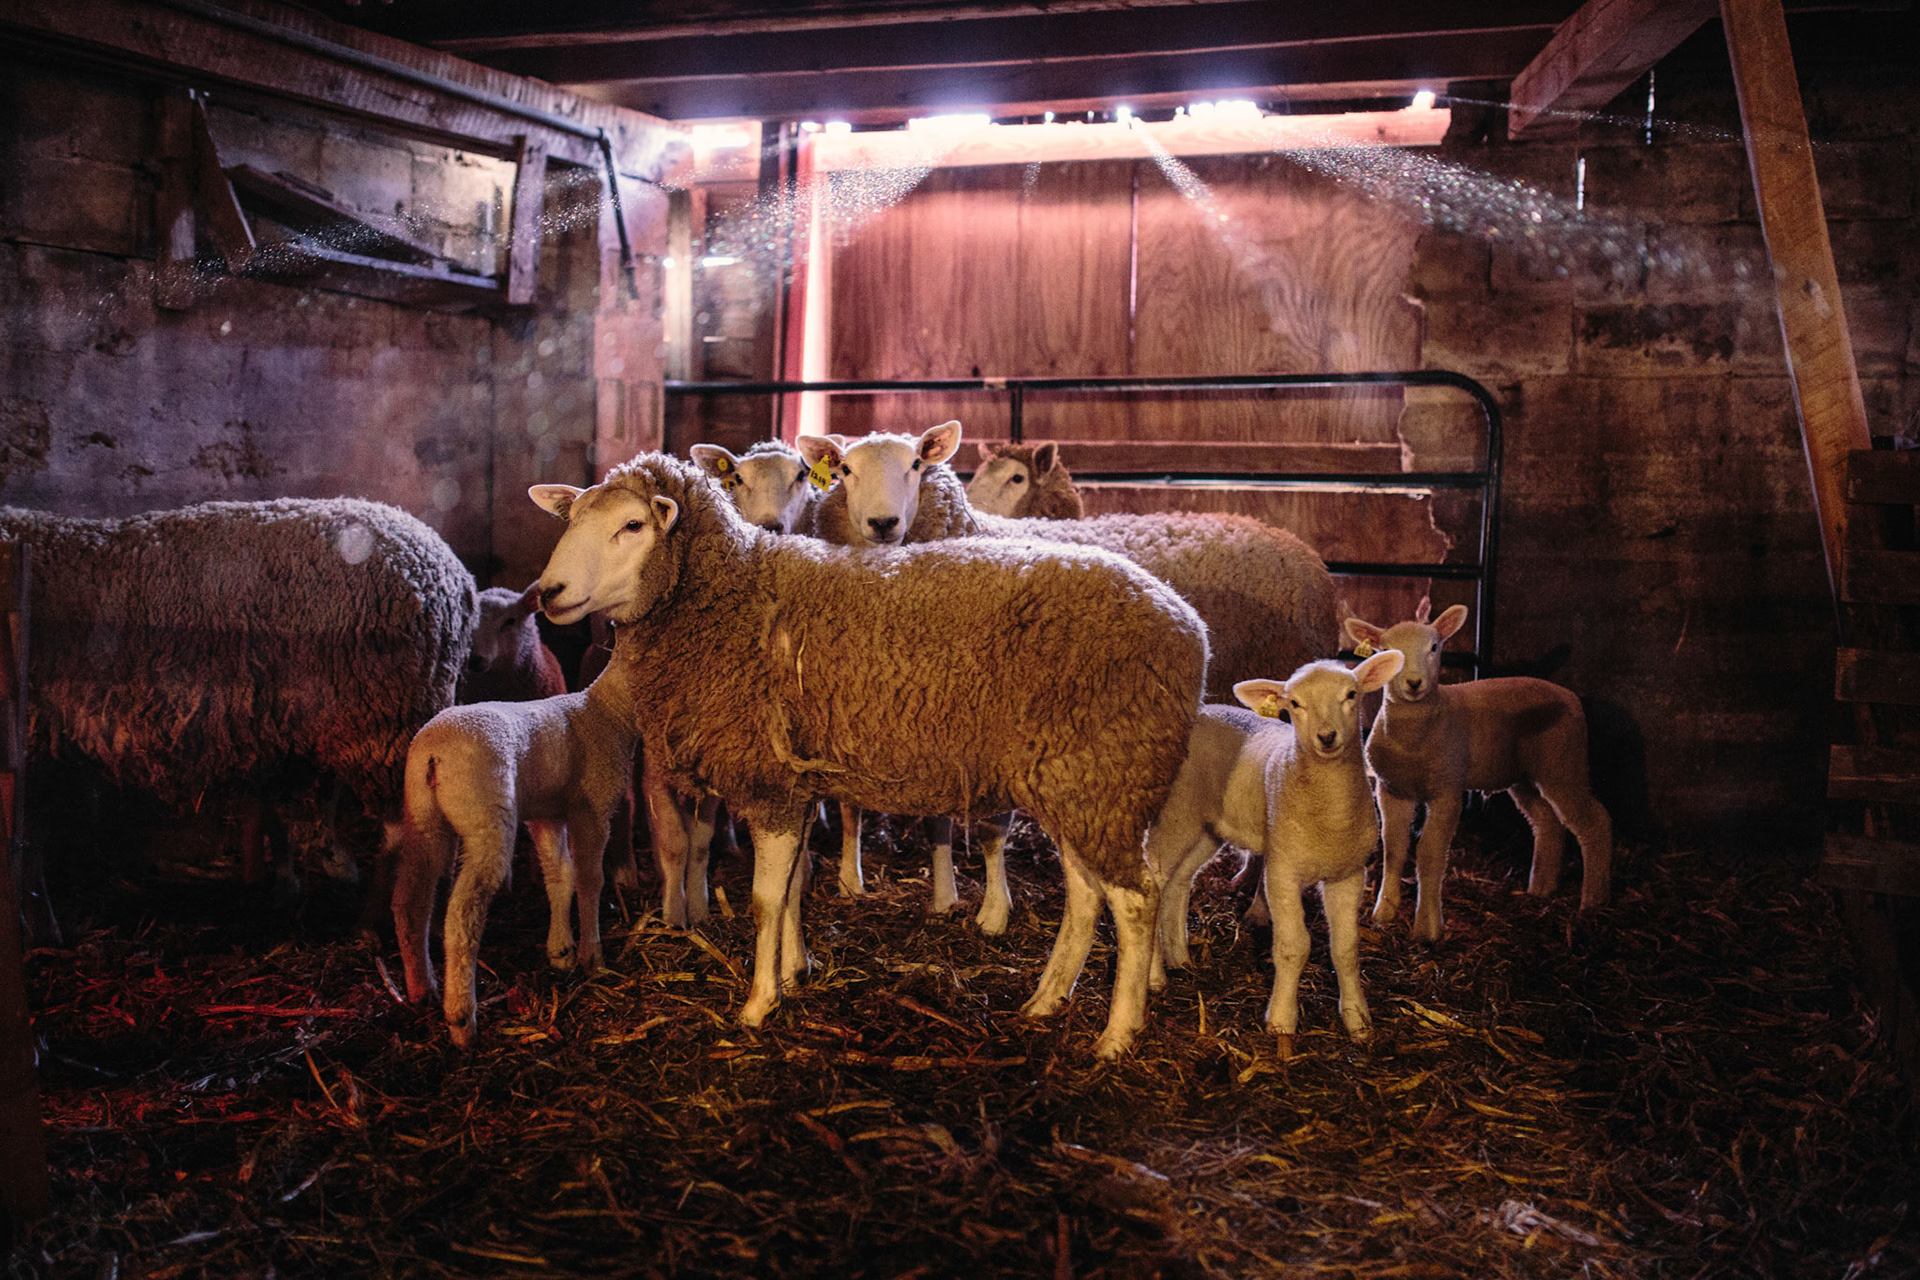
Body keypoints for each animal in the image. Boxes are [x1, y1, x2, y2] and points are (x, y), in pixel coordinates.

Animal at [0, 499, 476, 919]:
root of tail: (453, 576)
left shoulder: (32, 736)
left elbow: (30, 839)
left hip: (383, 719)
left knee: (405, 830)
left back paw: (378, 915)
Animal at [393, 657, 641, 1046]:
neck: (607, 710)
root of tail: (433, 752)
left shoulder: (546, 815)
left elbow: (560, 875)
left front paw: (561, 951)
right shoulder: (592, 806)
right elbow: (589, 879)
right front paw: (593, 958)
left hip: (421, 814)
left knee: (409, 898)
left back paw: (421, 987)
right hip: (486, 814)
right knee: (463, 913)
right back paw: (462, 1020)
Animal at [530, 452, 1207, 1058]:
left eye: (633, 525)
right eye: (572, 520)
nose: (548, 592)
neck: (731, 596)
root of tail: (1187, 623)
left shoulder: (771, 781)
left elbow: (766, 899)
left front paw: (758, 1003)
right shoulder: (797, 780)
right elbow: (794, 887)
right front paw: (795, 971)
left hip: (1108, 773)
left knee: (1136, 901)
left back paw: (1117, 1035)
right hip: (1077, 783)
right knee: (1088, 894)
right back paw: (1046, 999)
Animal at [1143, 651, 1404, 1050]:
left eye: (1351, 694)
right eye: (1294, 704)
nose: (1327, 737)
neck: (1329, 814)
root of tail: (1204, 710)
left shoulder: (1348, 874)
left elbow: (1346, 949)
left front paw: (1358, 1022)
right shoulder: (1282, 872)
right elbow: (1294, 946)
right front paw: (1281, 1021)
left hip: (1208, 826)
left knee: (1178, 882)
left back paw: (1180, 958)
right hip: (1176, 812)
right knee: (1155, 879)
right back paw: (1155, 976)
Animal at [1344, 599, 1613, 942]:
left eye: (1434, 647)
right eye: (1387, 651)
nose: (1414, 683)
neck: (1414, 738)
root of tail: (1568, 695)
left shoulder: (1447, 789)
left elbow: (1430, 852)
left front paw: (1427, 927)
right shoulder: (1391, 788)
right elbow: (1394, 847)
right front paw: (1384, 913)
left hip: (1564, 761)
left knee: (1594, 822)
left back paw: (1592, 904)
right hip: (1525, 774)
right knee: (1546, 822)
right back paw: (1540, 889)